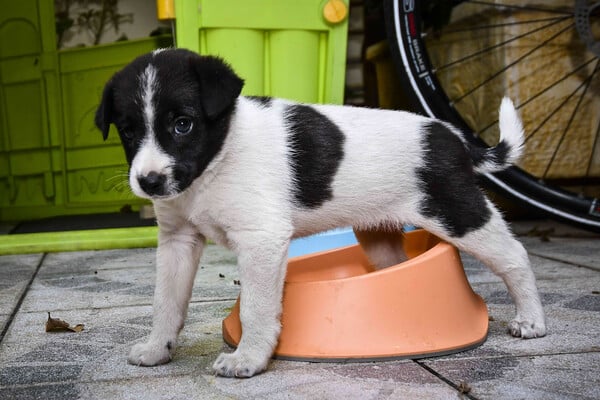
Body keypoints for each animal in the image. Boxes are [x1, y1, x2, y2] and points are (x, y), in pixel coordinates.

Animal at [95, 48, 548, 376]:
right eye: (128, 131)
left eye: (183, 124)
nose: (149, 182)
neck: (216, 161)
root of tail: (453, 136)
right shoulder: (178, 241)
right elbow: (166, 302)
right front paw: (158, 347)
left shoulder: (261, 240)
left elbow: (257, 307)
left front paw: (249, 359)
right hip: (379, 235)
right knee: (396, 266)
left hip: (457, 211)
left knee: (514, 257)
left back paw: (531, 320)